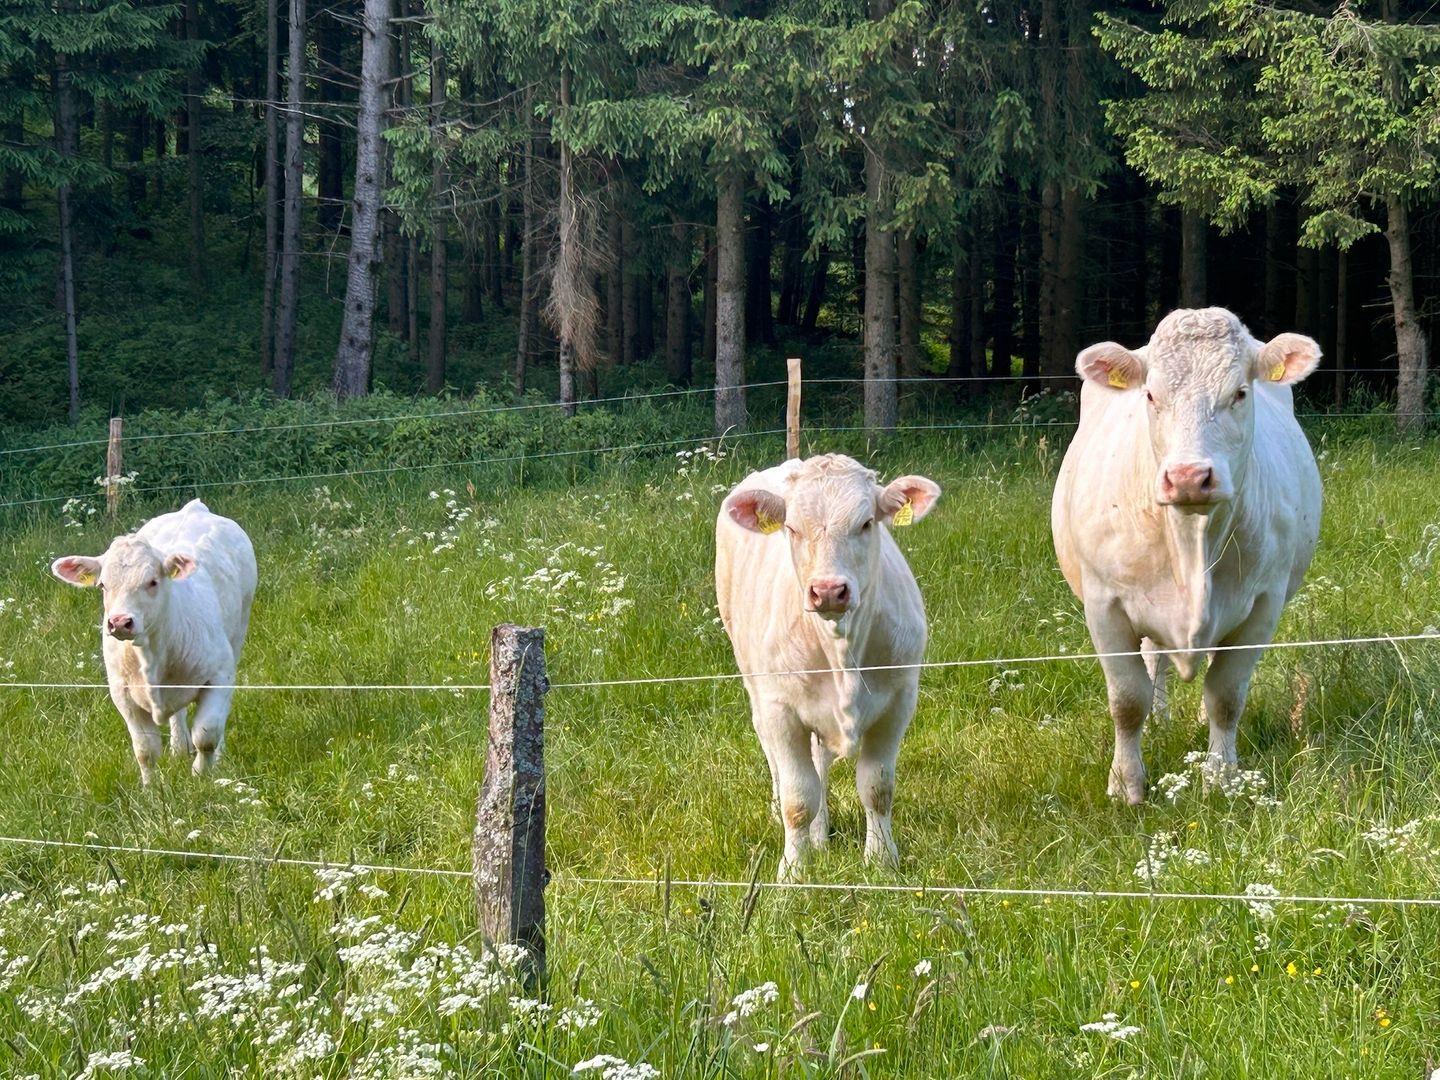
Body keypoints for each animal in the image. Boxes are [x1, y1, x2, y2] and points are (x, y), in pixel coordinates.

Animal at [51, 499, 257, 785]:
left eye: (152, 581)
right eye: (103, 585)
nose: (119, 622)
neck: (151, 655)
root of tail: (194, 508)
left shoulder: (219, 674)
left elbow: (206, 734)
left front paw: (201, 775)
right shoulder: (122, 693)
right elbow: (145, 750)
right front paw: (150, 788)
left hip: (238, 632)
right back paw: (179, 746)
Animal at [716, 454, 941, 880]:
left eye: (867, 523)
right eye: (790, 527)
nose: (828, 591)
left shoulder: (899, 700)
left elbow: (877, 788)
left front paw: (881, 861)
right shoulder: (780, 708)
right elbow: (797, 797)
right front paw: (793, 871)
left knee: (819, 764)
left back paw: (820, 836)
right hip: (753, 681)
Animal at [1051, 307, 1323, 804]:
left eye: (1239, 393)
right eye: (1150, 395)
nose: (1189, 477)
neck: (1190, 541)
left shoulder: (1263, 605)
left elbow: (1226, 694)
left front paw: (1221, 776)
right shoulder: (1104, 605)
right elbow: (1127, 698)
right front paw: (1126, 783)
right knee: (1153, 659)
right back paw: (1159, 720)